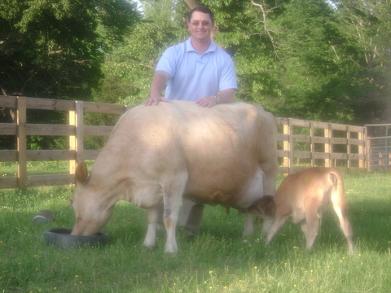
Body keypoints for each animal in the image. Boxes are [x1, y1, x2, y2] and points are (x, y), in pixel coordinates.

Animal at [70, 100, 278, 251]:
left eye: (77, 212)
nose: (73, 236)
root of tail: (263, 111)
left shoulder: (175, 178)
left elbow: (169, 217)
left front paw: (170, 249)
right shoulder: (152, 187)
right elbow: (152, 217)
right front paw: (148, 244)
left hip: (269, 170)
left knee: (269, 208)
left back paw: (265, 236)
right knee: (250, 209)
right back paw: (247, 236)